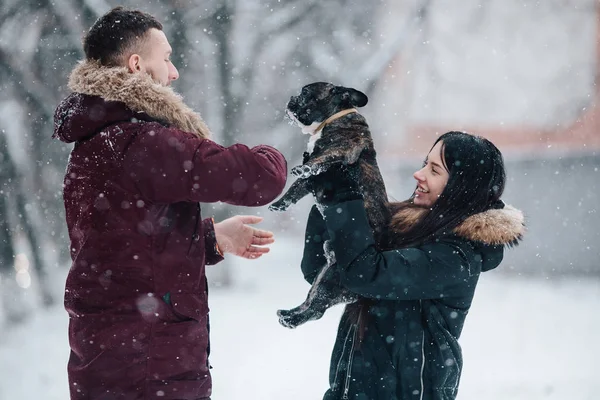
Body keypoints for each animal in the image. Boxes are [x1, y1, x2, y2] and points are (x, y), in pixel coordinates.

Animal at [268, 83, 390, 330]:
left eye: (306, 93)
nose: (292, 97)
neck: (332, 119)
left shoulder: (343, 149)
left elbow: (320, 160)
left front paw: (302, 169)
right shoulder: (310, 183)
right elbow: (294, 190)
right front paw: (279, 205)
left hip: (331, 280)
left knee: (316, 309)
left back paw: (290, 319)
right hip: (323, 275)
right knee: (310, 303)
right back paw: (287, 313)